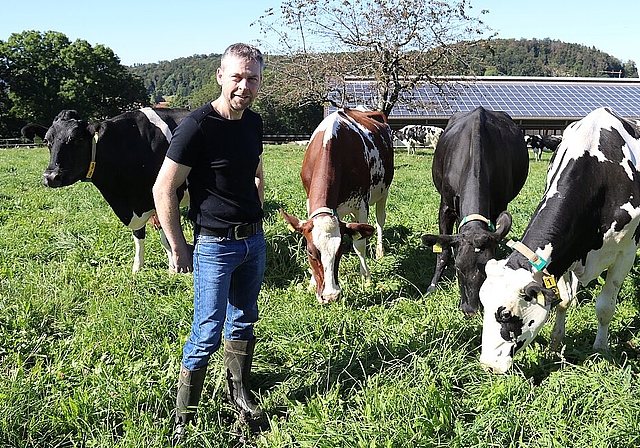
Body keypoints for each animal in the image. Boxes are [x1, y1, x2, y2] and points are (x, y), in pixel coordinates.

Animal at [40, 107, 189, 272]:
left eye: (77, 139)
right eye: (47, 141)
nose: (51, 176)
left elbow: (167, 238)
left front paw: (173, 269)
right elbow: (138, 235)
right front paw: (137, 267)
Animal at [282, 108, 396, 302]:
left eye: (340, 251)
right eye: (311, 253)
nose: (330, 296)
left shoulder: (361, 204)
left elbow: (359, 244)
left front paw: (366, 278)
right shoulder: (309, 201)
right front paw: (311, 284)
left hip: (384, 191)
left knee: (380, 220)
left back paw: (380, 251)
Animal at [420, 107, 528, 316]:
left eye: (489, 271)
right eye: (458, 268)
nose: (471, 310)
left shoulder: (498, 208)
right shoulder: (445, 206)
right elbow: (443, 252)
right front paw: (432, 287)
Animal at [480, 108, 640, 374]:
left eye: (505, 314)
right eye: (482, 304)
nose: (488, 365)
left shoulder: (626, 252)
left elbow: (605, 307)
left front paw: (601, 348)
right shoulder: (563, 257)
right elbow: (563, 299)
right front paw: (556, 345)